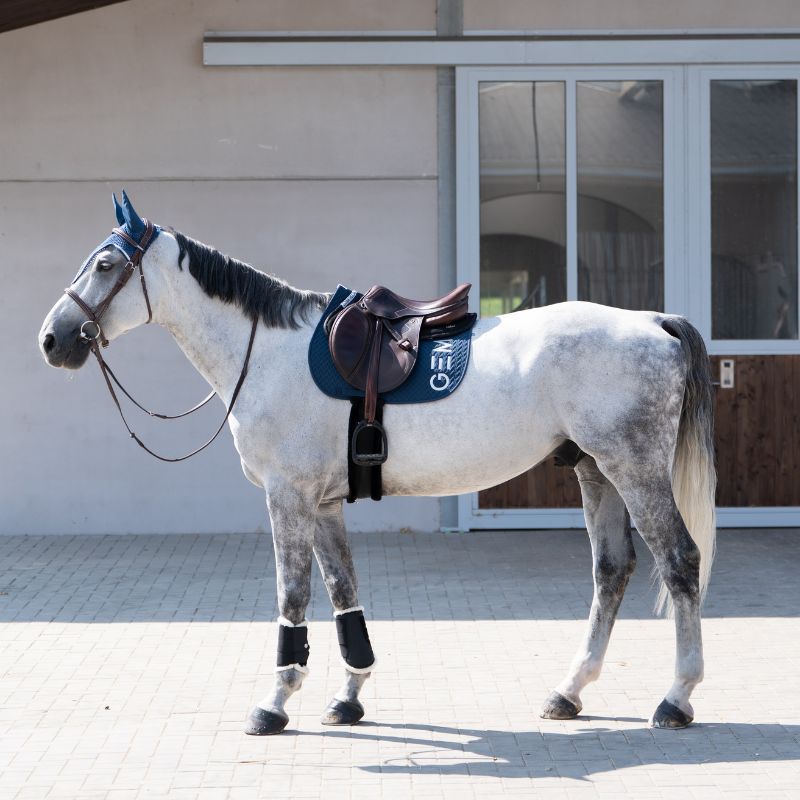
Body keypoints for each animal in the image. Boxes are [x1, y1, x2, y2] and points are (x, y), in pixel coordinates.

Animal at [39, 192, 716, 736]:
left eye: (105, 265)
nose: (53, 339)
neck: (270, 353)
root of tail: (654, 322)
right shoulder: (323, 504)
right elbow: (345, 594)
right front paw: (348, 696)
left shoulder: (288, 497)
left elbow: (292, 596)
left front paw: (275, 703)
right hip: (595, 471)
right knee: (612, 571)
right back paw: (568, 692)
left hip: (634, 469)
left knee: (679, 561)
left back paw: (675, 699)